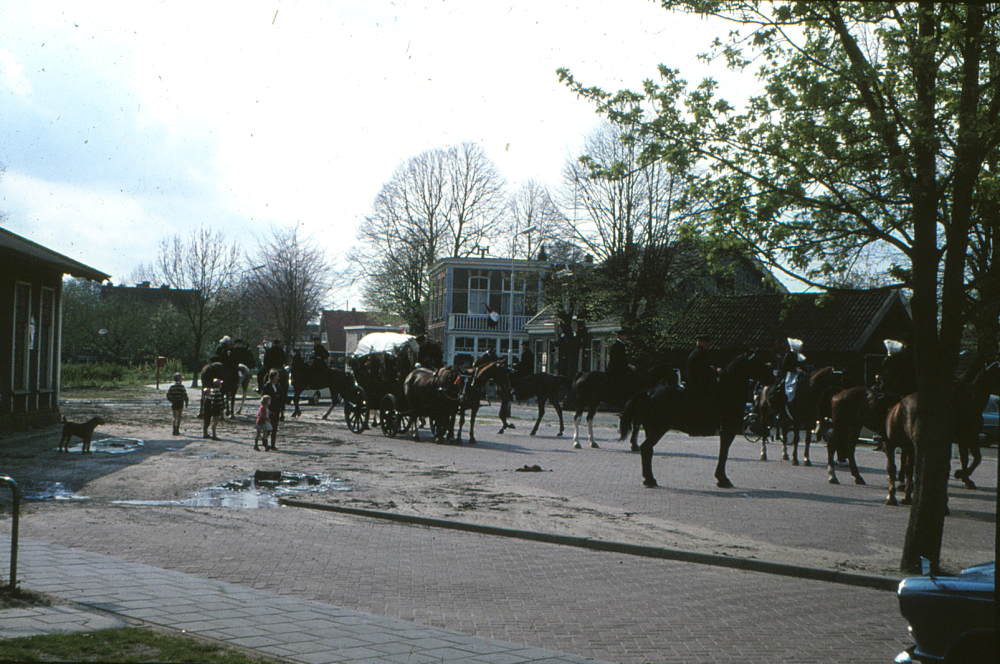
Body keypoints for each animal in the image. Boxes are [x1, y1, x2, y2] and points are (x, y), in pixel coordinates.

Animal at [616, 352, 772, 488]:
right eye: (757, 362)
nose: (773, 376)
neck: (727, 392)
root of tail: (648, 392)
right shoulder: (728, 431)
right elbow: (723, 454)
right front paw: (723, 479)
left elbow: (723, 454)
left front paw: (721, 478)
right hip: (658, 429)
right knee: (646, 448)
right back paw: (650, 479)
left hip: (650, 429)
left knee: (648, 450)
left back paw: (649, 478)